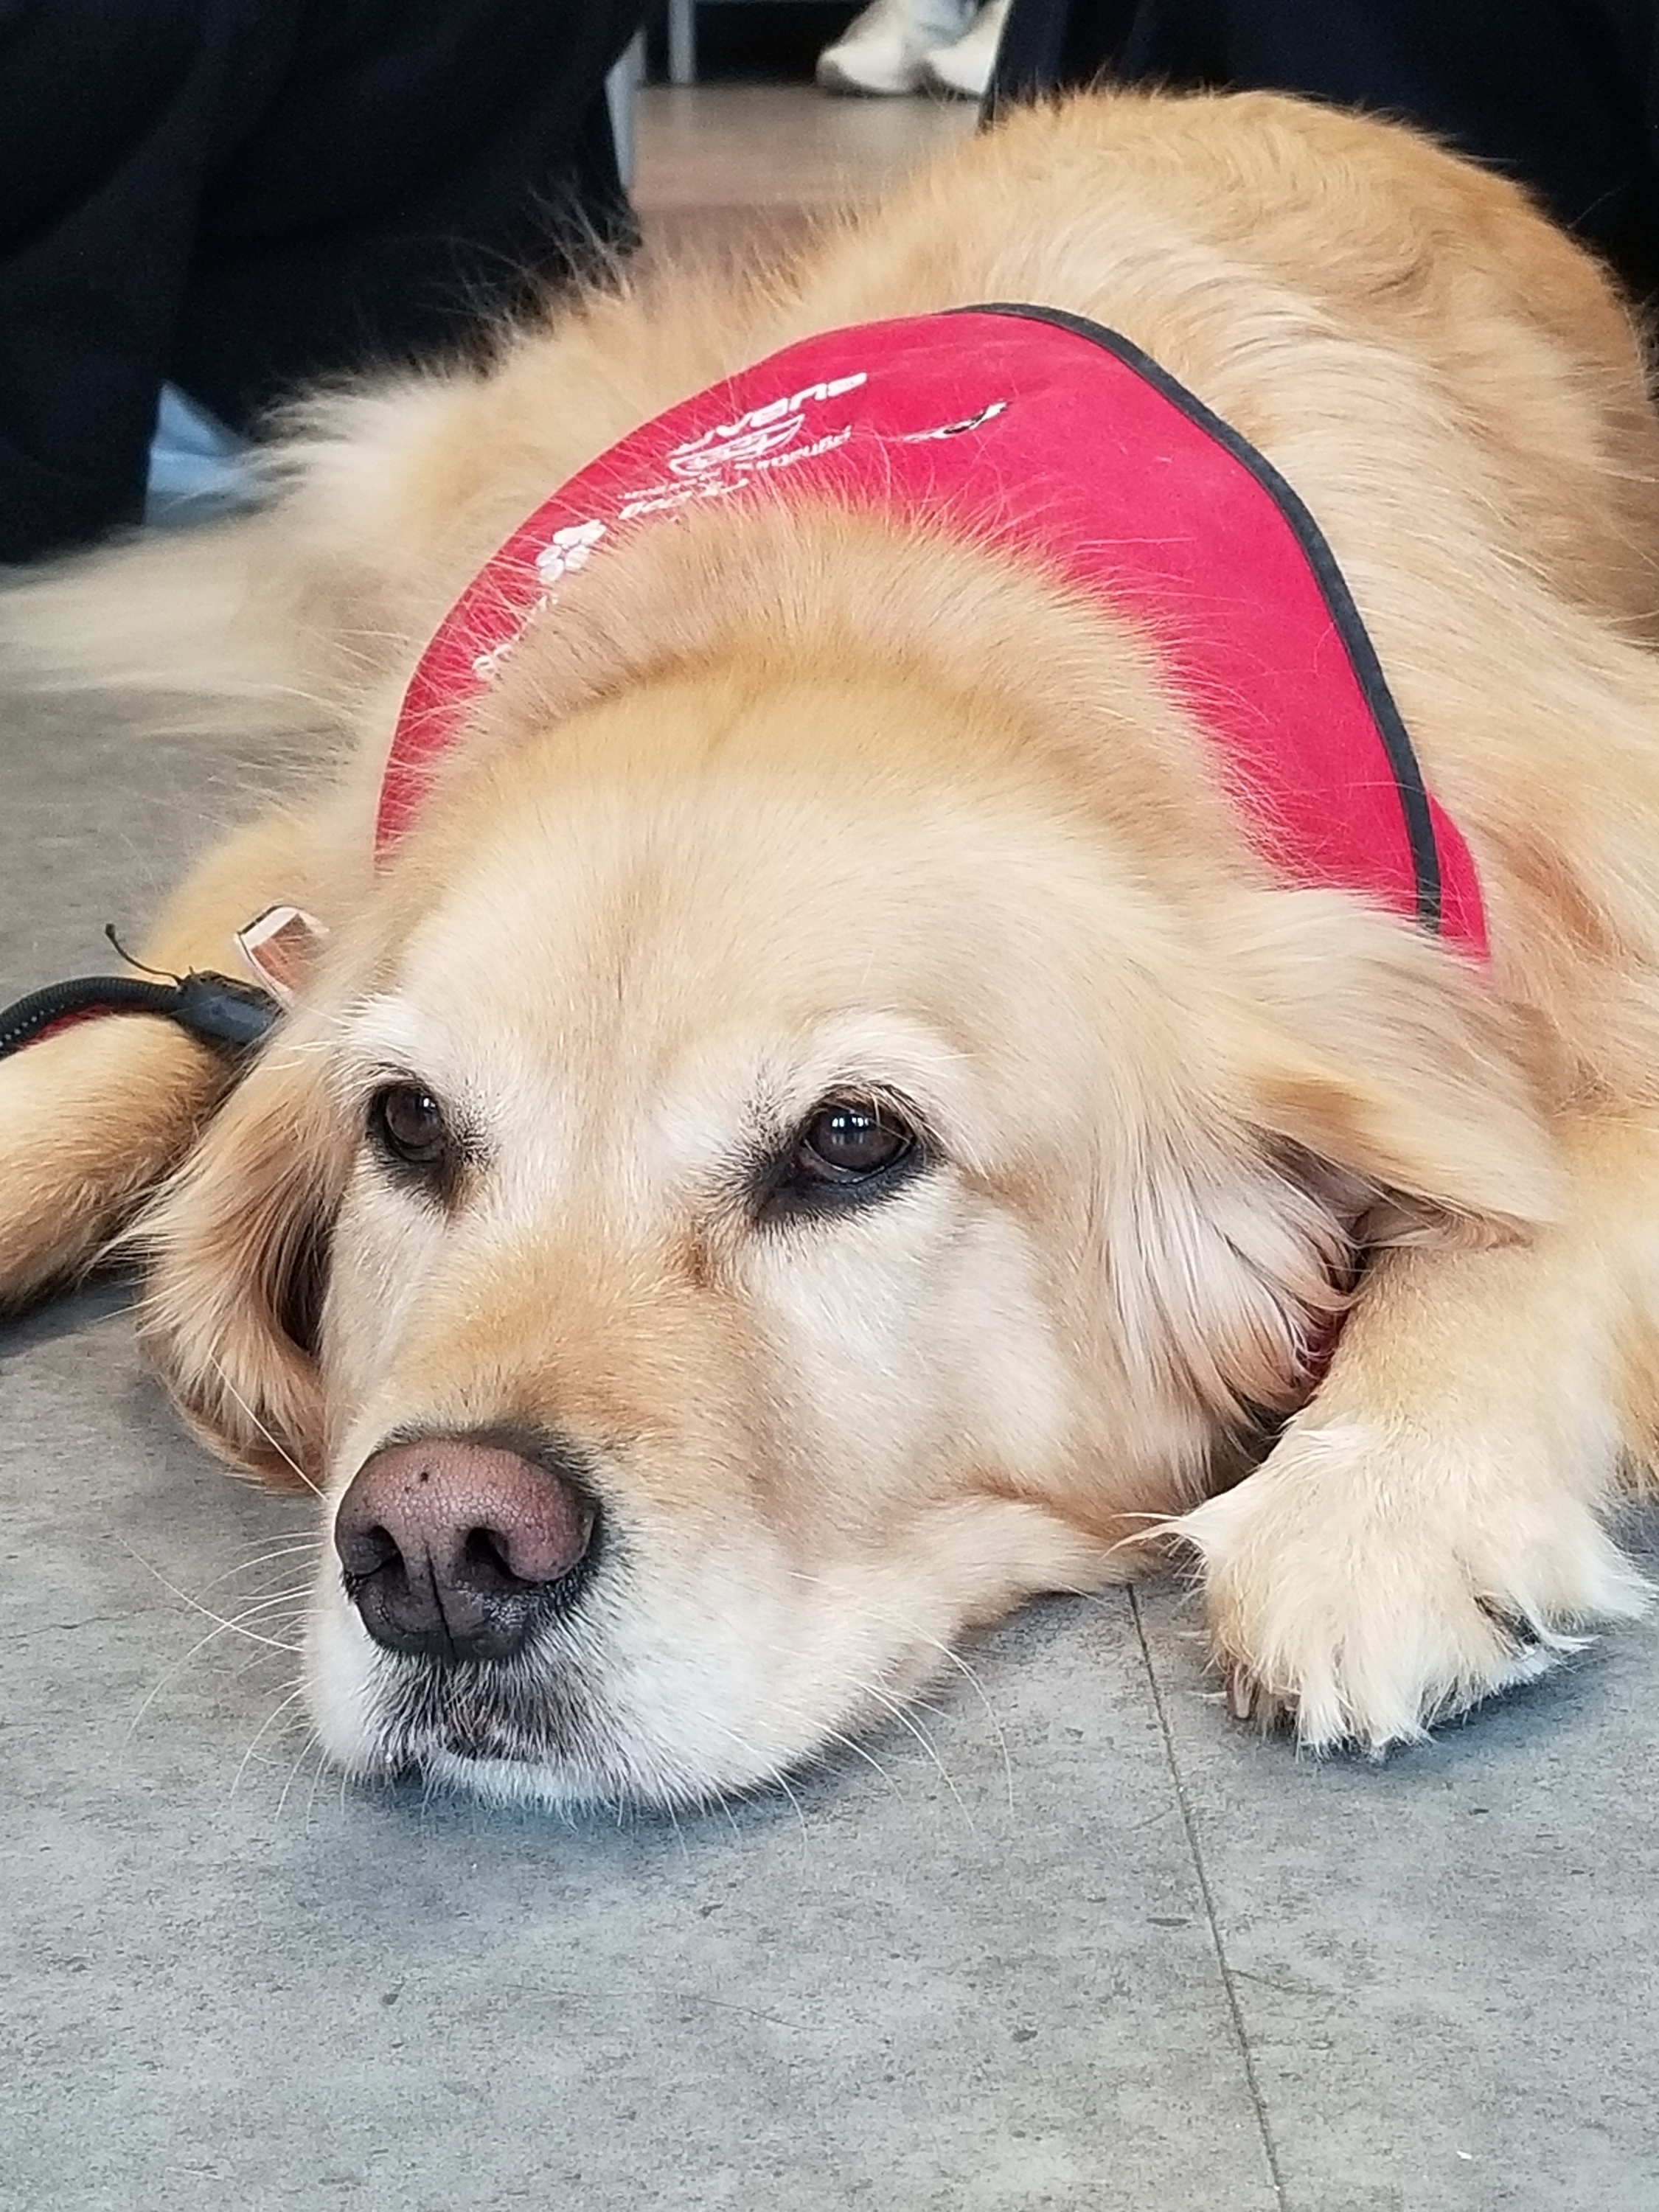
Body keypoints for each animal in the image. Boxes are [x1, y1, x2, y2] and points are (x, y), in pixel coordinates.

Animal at [3, 91, 1659, 1814]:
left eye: (854, 1141)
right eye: (405, 1123)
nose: (442, 1549)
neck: (883, 604)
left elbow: (1524, 1205)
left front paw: (1386, 1497)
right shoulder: (306, 873)